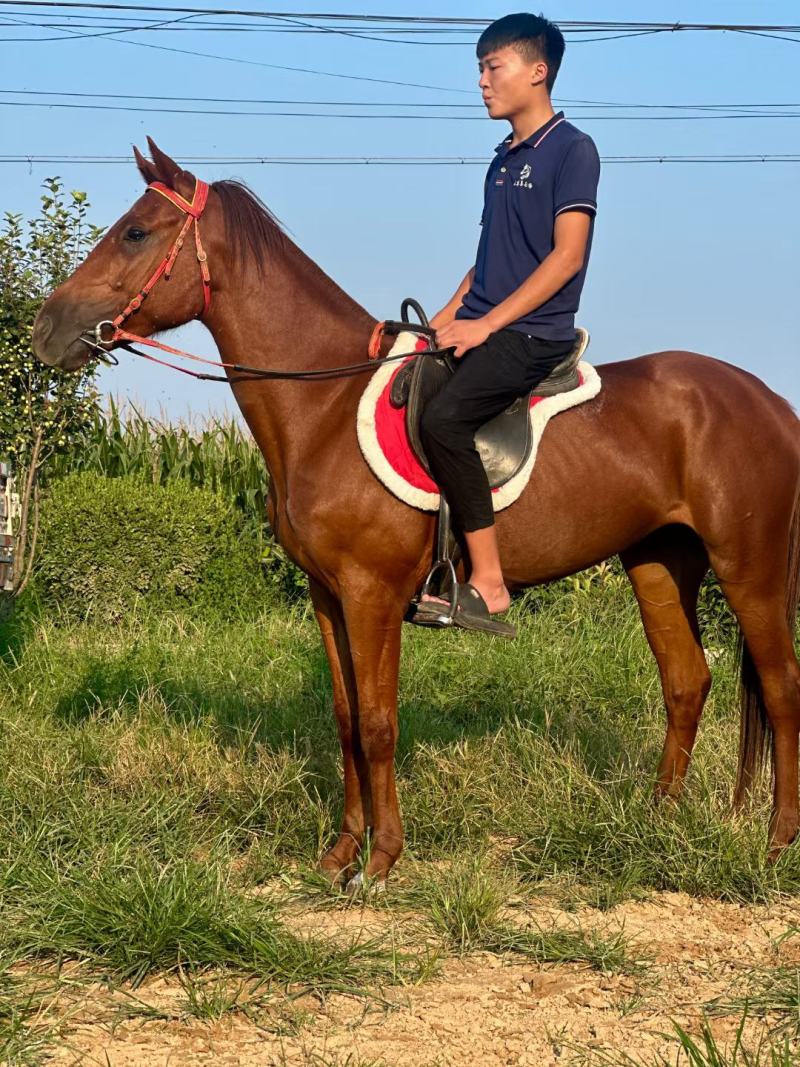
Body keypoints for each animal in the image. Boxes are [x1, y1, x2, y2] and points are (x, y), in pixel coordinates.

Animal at [31, 138, 800, 889]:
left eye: (135, 232)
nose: (45, 326)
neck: (324, 406)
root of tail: (770, 402)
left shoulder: (371, 594)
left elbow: (377, 723)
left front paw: (381, 861)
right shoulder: (327, 595)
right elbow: (344, 719)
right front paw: (340, 854)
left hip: (749, 570)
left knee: (781, 686)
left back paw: (776, 842)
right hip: (659, 563)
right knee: (687, 681)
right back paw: (656, 820)